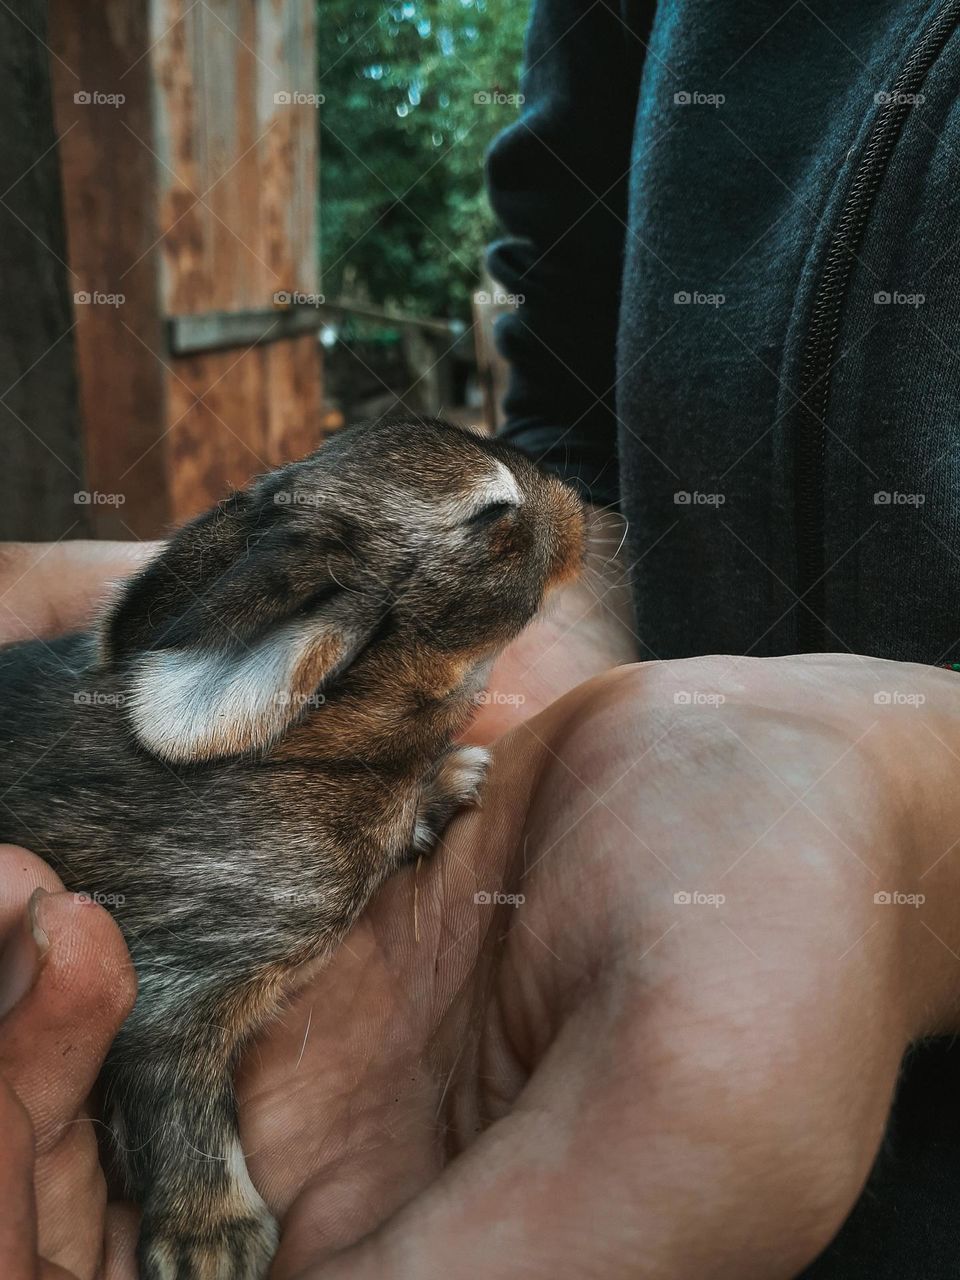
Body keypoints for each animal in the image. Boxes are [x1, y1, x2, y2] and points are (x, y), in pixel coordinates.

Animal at [0, 419, 586, 1280]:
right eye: (491, 515)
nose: (578, 507)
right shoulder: (180, 973)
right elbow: (178, 1101)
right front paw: (214, 1245)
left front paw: (451, 782)